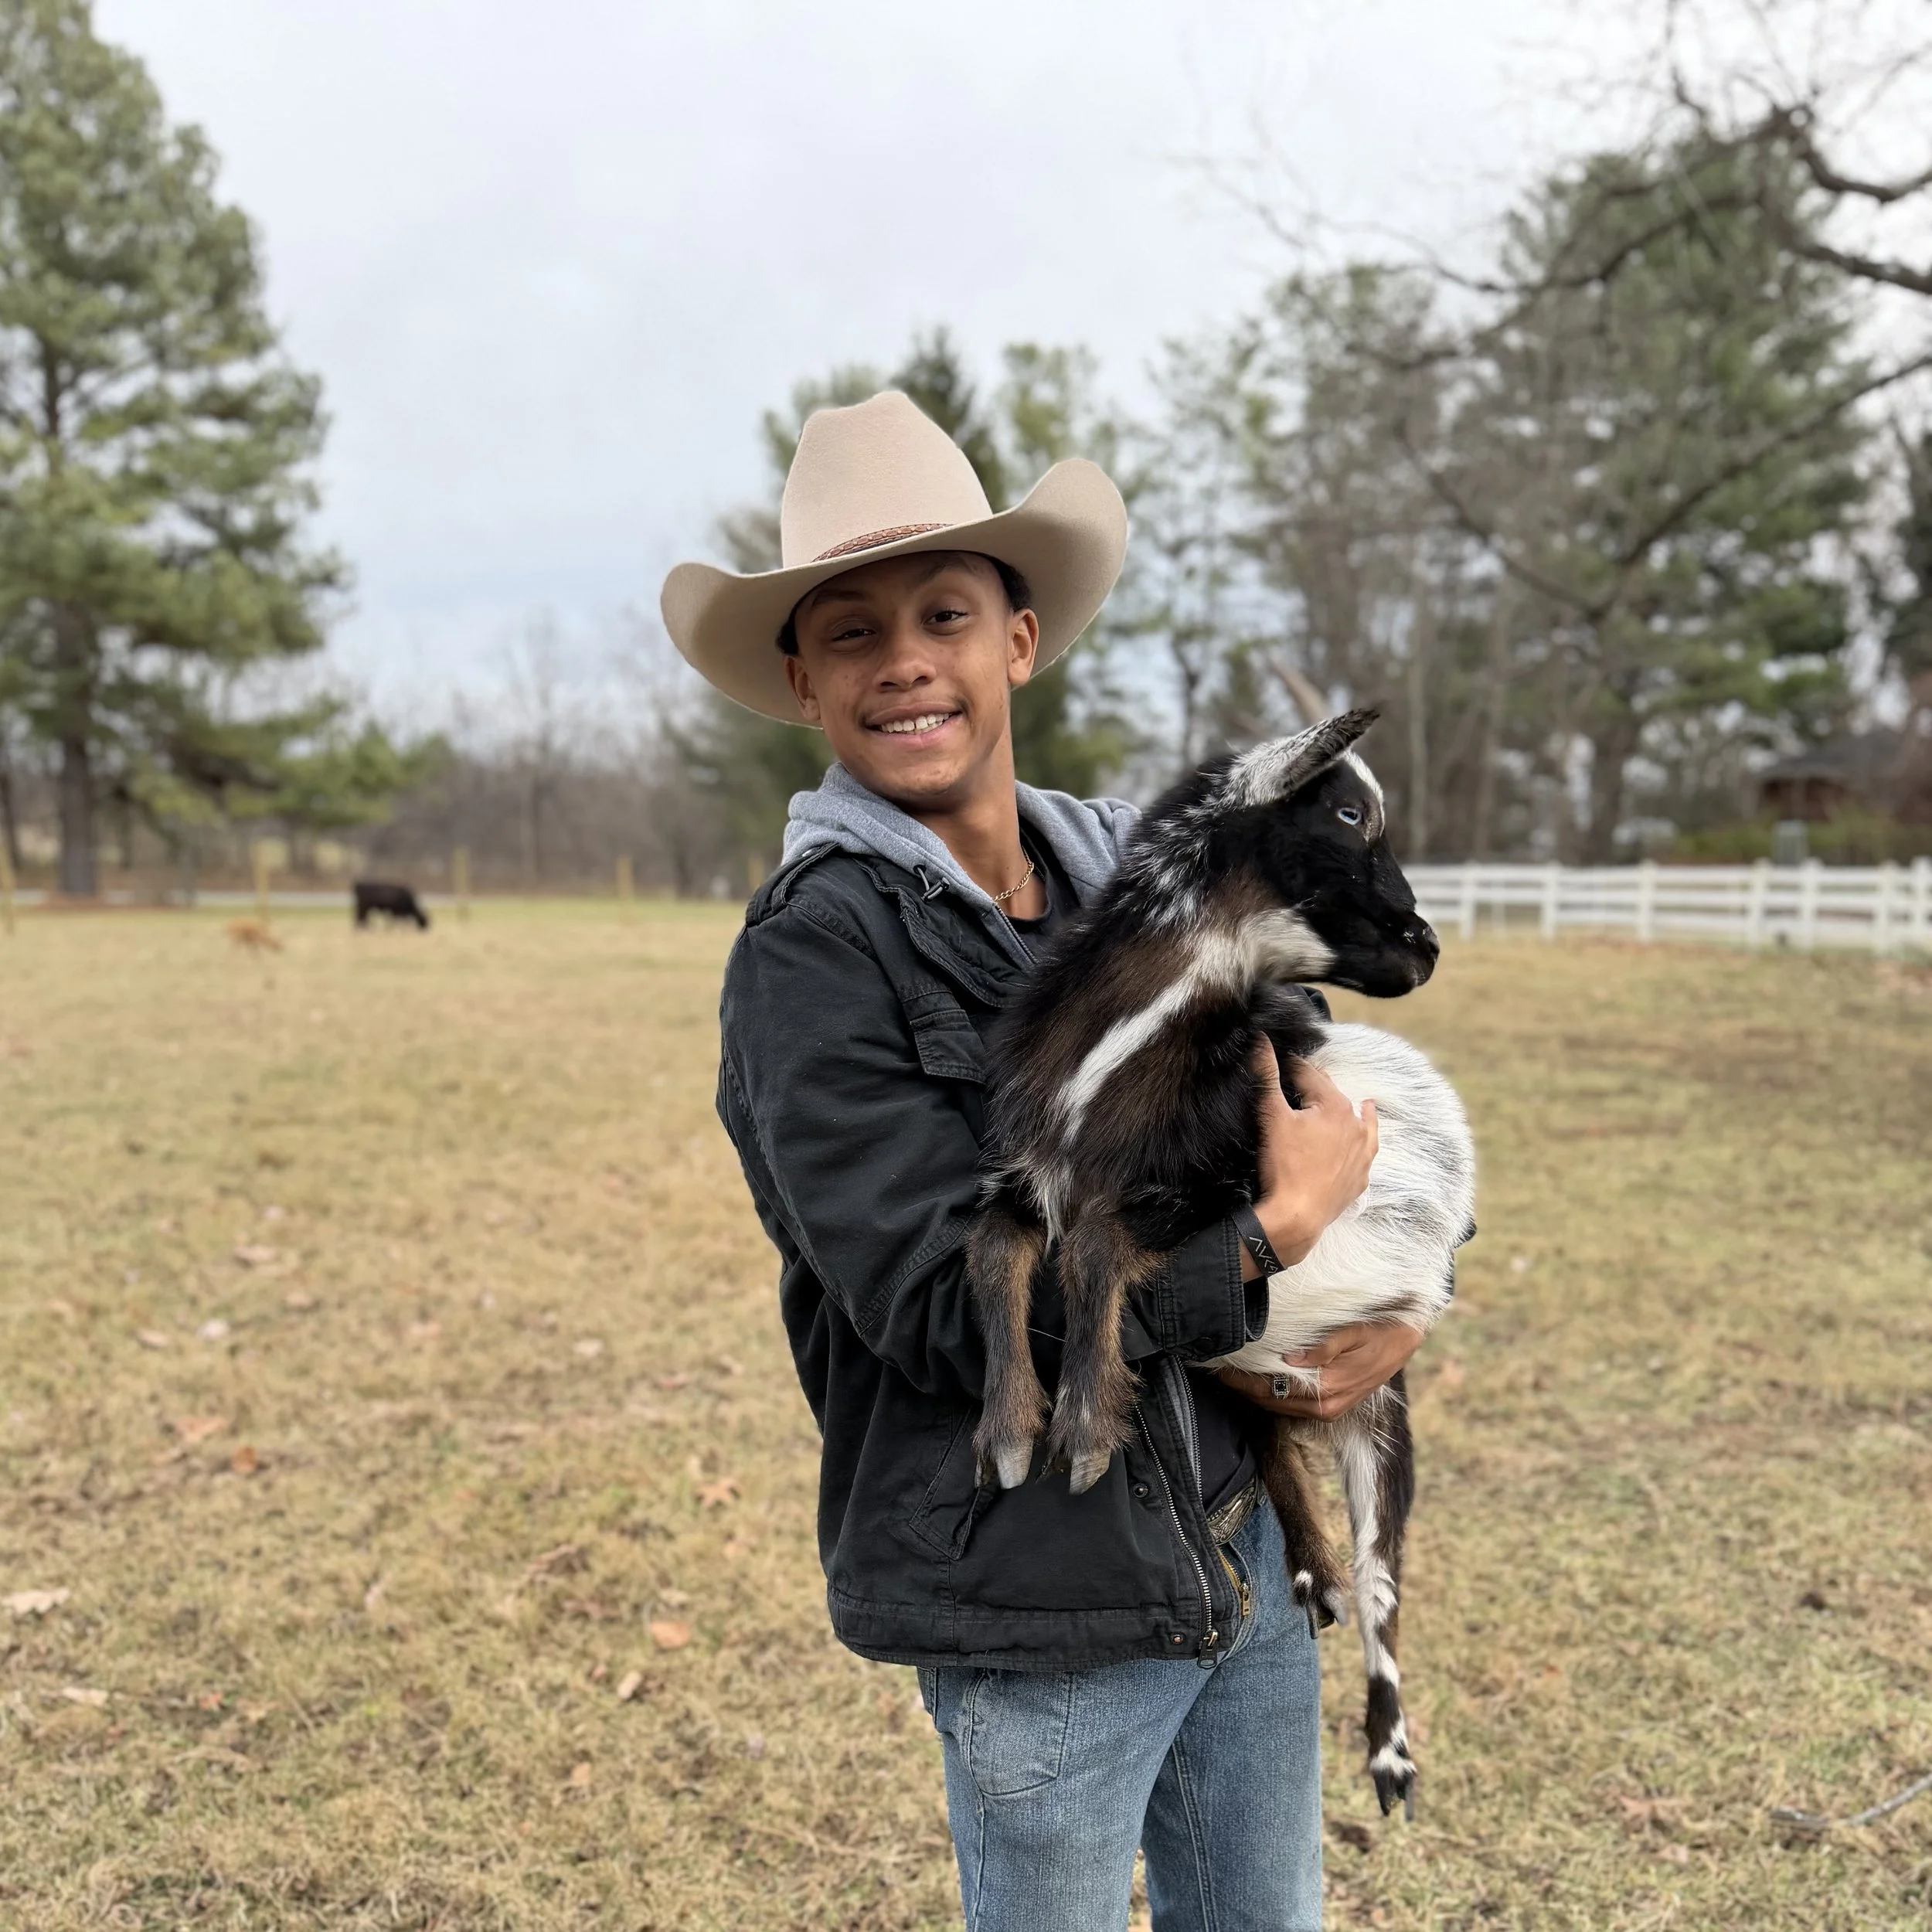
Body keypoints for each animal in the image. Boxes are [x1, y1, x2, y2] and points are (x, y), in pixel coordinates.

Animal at [968, 709, 1475, 1816]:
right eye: (1347, 813)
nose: (1426, 948)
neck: (1122, 1048)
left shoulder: (1211, 1191)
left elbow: (1097, 1248)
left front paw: (1081, 1429)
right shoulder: (1035, 1173)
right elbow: (995, 1249)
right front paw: (1012, 1429)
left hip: (1382, 1400)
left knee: (1385, 1573)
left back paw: (1389, 1752)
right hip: (1257, 1373)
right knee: (1277, 1441)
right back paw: (1311, 1574)